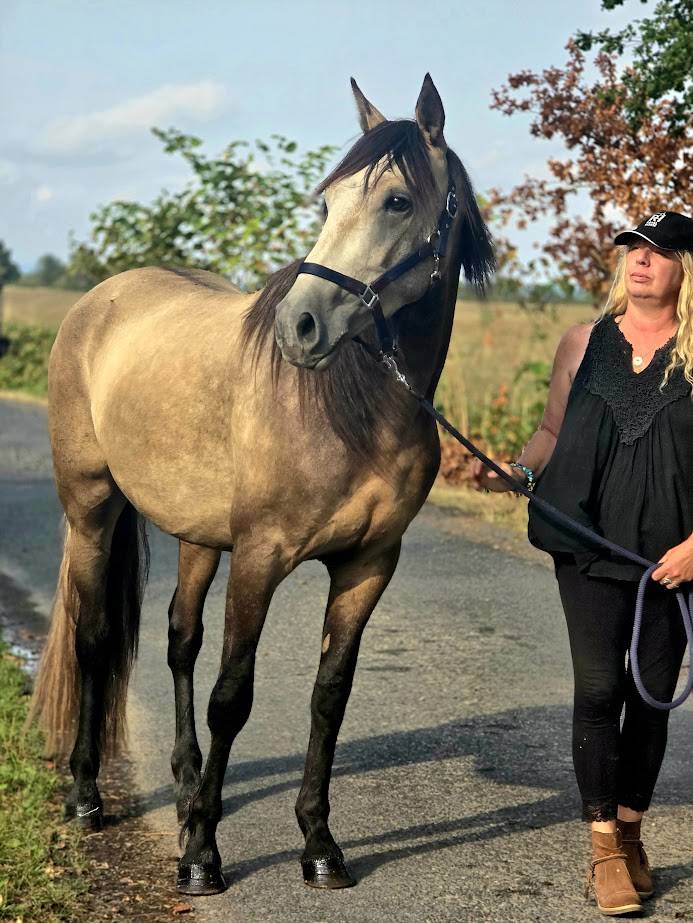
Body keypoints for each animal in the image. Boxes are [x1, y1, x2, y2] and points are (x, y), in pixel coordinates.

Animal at [29, 73, 494, 896]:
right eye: (327, 203)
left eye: (397, 201)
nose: (298, 328)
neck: (351, 411)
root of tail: (100, 298)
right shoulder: (260, 558)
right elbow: (232, 698)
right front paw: (200, 857)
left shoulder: (368, 564)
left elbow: (328, 696)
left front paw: (319, 845)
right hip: (92, 509)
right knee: (93, 636)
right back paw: (86, 797)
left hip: (195, 536)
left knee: (179, 639)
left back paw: (187, 787)